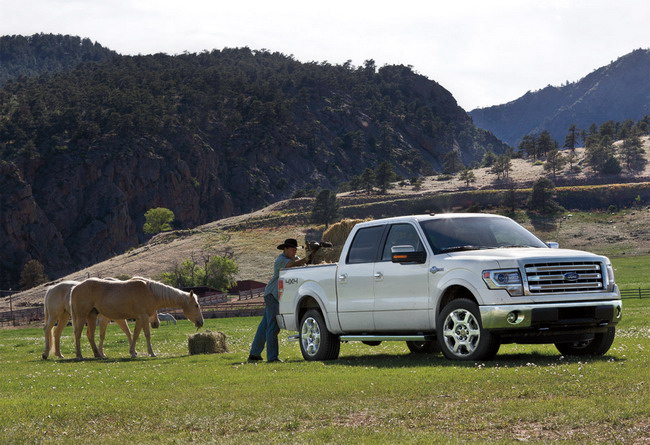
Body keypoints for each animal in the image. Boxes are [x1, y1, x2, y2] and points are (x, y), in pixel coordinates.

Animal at [70, 278, 202, 358]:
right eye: (196, 305)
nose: (201, 322)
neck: (150, 292)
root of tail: (75, 288)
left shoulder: (139, 318)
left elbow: (135, 334)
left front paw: (133, 352)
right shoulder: (143, 317)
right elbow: (147, 334)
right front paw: (152, 353)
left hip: (91, 316)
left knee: (90, 335)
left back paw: (98, 354)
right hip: (82, 317)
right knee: (77, 334)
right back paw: (80, 355)